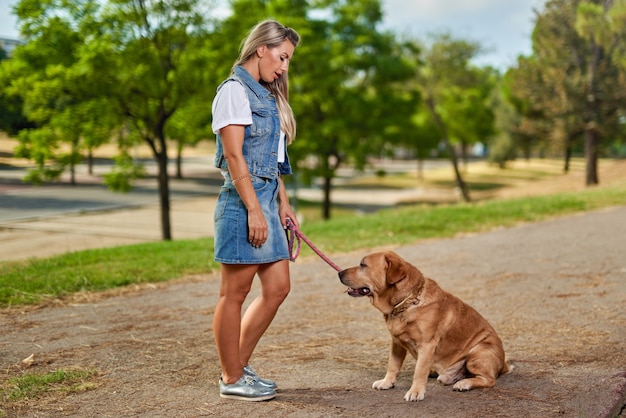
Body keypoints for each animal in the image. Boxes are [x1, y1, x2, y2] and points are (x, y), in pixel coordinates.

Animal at [336, 251, 508, 402]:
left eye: (363, 264)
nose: (339, 273)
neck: (407, 301)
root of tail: (504, 365)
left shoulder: (426, 346)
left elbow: (418, 372)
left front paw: (415, 392)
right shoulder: (396, 343)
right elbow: (392, 365)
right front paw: (386, 382)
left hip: (478, 352)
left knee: (489, 379)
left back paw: (464, 384)